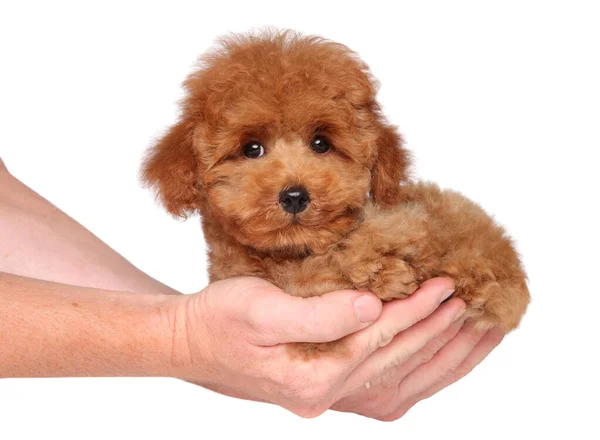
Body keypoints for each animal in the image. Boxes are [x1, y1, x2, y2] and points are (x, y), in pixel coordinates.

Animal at [144, 30, 528, 344]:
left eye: (321, 143)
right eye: (251, 149)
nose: (294, 195)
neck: (292, 254)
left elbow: (400, 234)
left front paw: (382, 263)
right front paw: (381, 270)